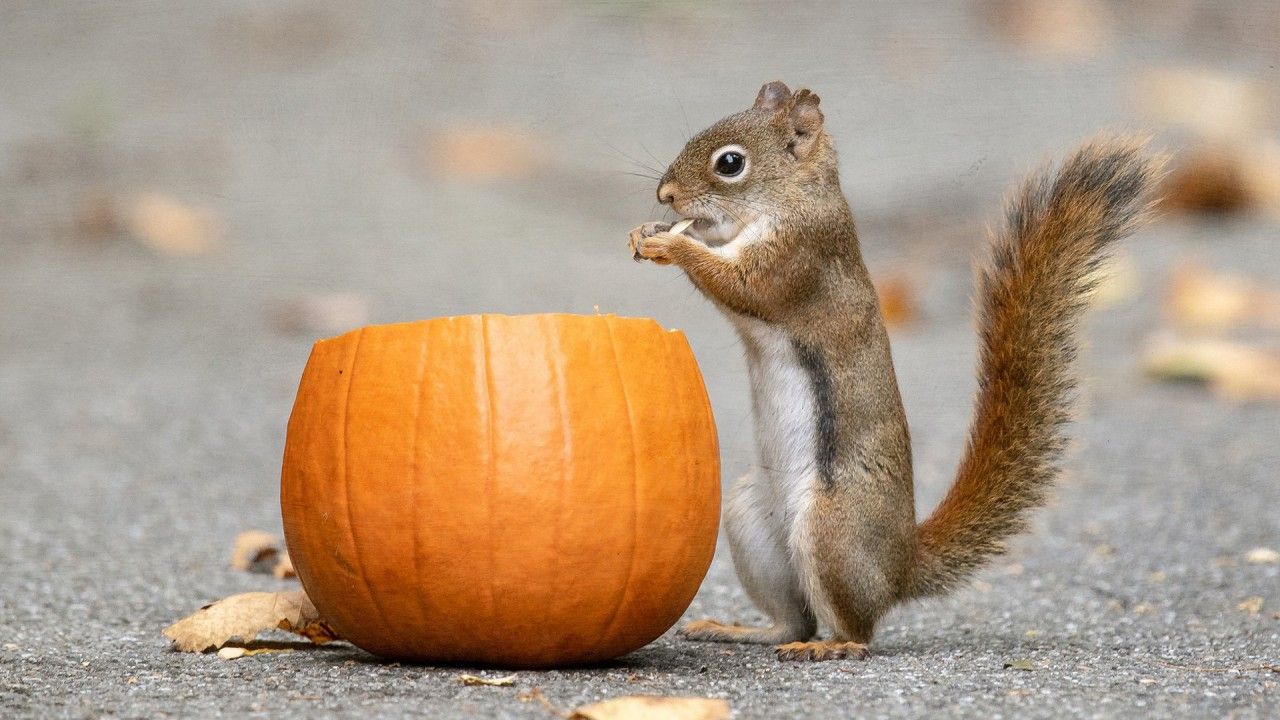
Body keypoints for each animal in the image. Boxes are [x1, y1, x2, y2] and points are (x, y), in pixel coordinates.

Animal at [627, 81, 1160, 662]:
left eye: (730, 164)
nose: (666, 195)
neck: (791, 199)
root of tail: (899, 567)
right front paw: (649, 229)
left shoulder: (797, 258)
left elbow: (739, 283)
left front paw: (671, 242)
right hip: (752, 521)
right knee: (794, 621)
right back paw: (739, 630)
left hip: (832, 531)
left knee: (857, 629)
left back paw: (832, 647)